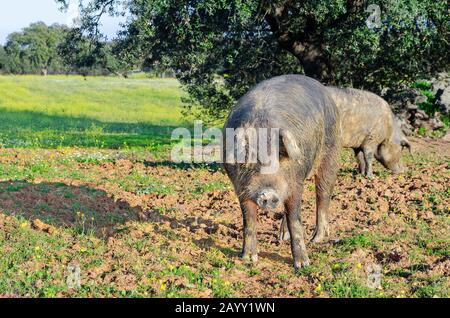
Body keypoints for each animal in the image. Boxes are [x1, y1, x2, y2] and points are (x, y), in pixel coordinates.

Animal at [223, 75, 342, 270]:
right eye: (250, 160)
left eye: (280, 156)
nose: (268, 193)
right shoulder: (240, 187)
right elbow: (249, 220)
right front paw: (248, 259)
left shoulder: (295, 182)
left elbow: (295, 219)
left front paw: (303, 265)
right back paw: (281, 237)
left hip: (331, 153)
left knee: (323, 196)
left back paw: (317, 239)